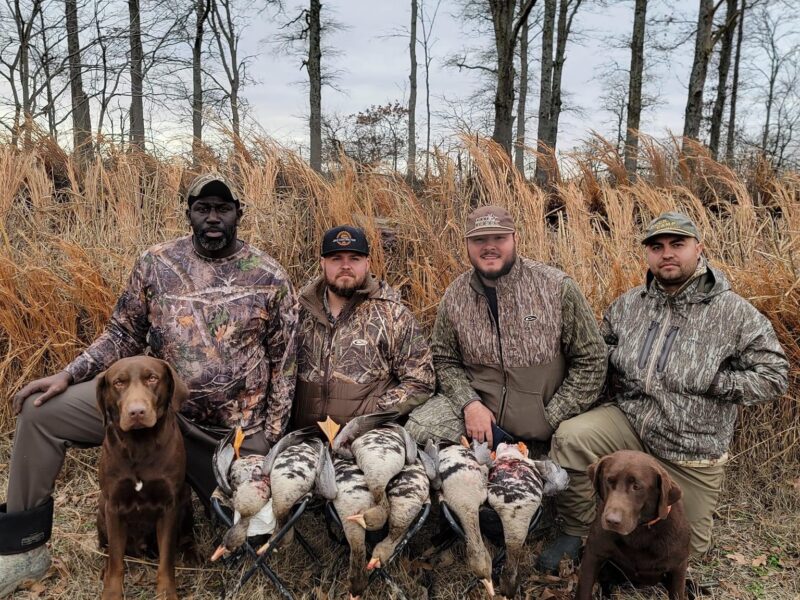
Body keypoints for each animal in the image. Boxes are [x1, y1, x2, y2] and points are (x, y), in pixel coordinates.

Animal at [97, 356, 194, 600]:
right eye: (118, 383)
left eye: (152, 378)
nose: (137, 412)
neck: (139, 444)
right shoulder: (113, 506)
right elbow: (116, 560)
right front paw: (111, 592)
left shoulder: (169, 506)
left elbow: (166, 560)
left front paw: (166, 593)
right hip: (101, 507)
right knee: (107, 549)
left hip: (185, 499)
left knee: (187, 536)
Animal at [576, 450, 688, 600]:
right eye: (609, 481)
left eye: (636, 487)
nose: (612, 521)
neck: (639, 531)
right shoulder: (593, 554)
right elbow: (584, 589)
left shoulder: (678, 567)